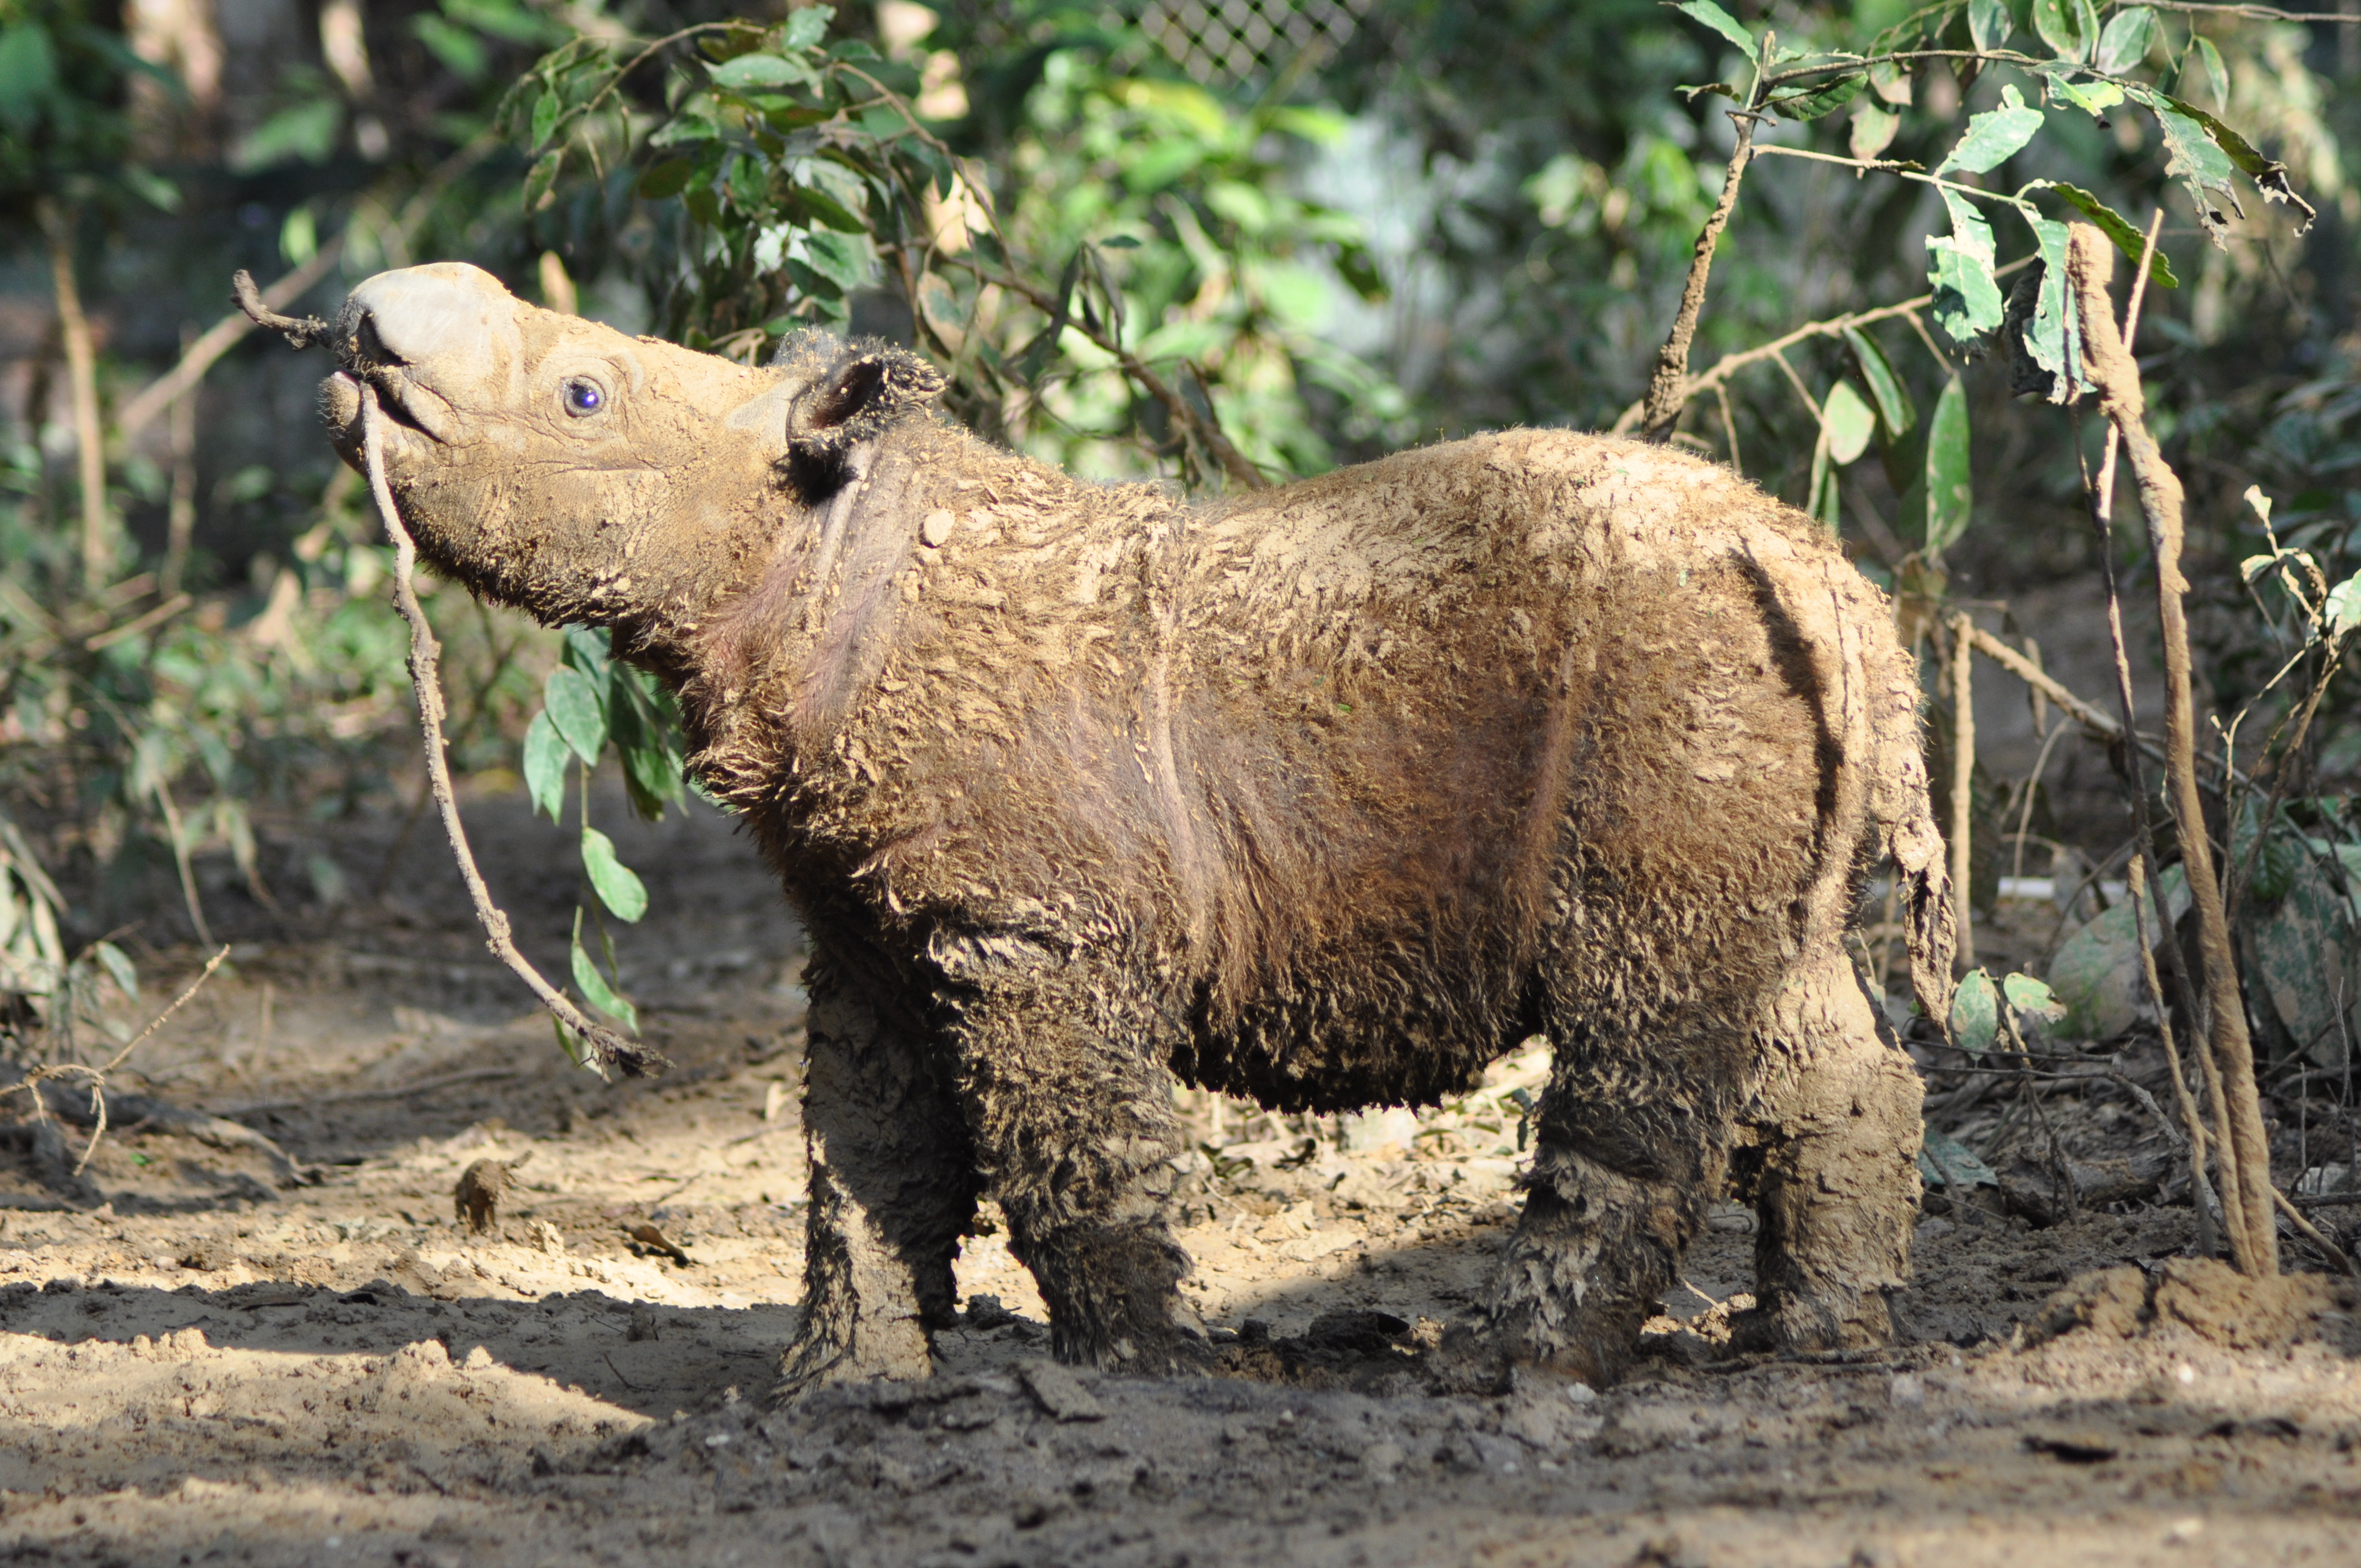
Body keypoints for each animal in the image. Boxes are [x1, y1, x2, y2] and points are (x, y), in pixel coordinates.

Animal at [314, 259, 1955, 1398]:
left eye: (584, 397)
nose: (369, 324)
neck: (816, 541)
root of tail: (1807, 564)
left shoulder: (1036, 929)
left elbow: (1070, 1152)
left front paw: (1143, 1376)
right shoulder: (870, 924)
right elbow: (863, 1152)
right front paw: (835, 1389)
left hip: (1662, 673)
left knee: (1641, 1009)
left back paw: (1523, 1374)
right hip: (1760, 691)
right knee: (1785, 1005)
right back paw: (1819, 1345)